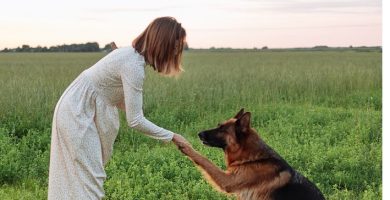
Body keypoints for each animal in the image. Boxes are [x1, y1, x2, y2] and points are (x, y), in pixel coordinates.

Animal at [178, 109, 324, 200]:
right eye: (219, 125)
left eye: (222, 129)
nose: (199, 134)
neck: (253, 159)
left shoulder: (228, 181)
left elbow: (204, 160)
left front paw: (185, 146)